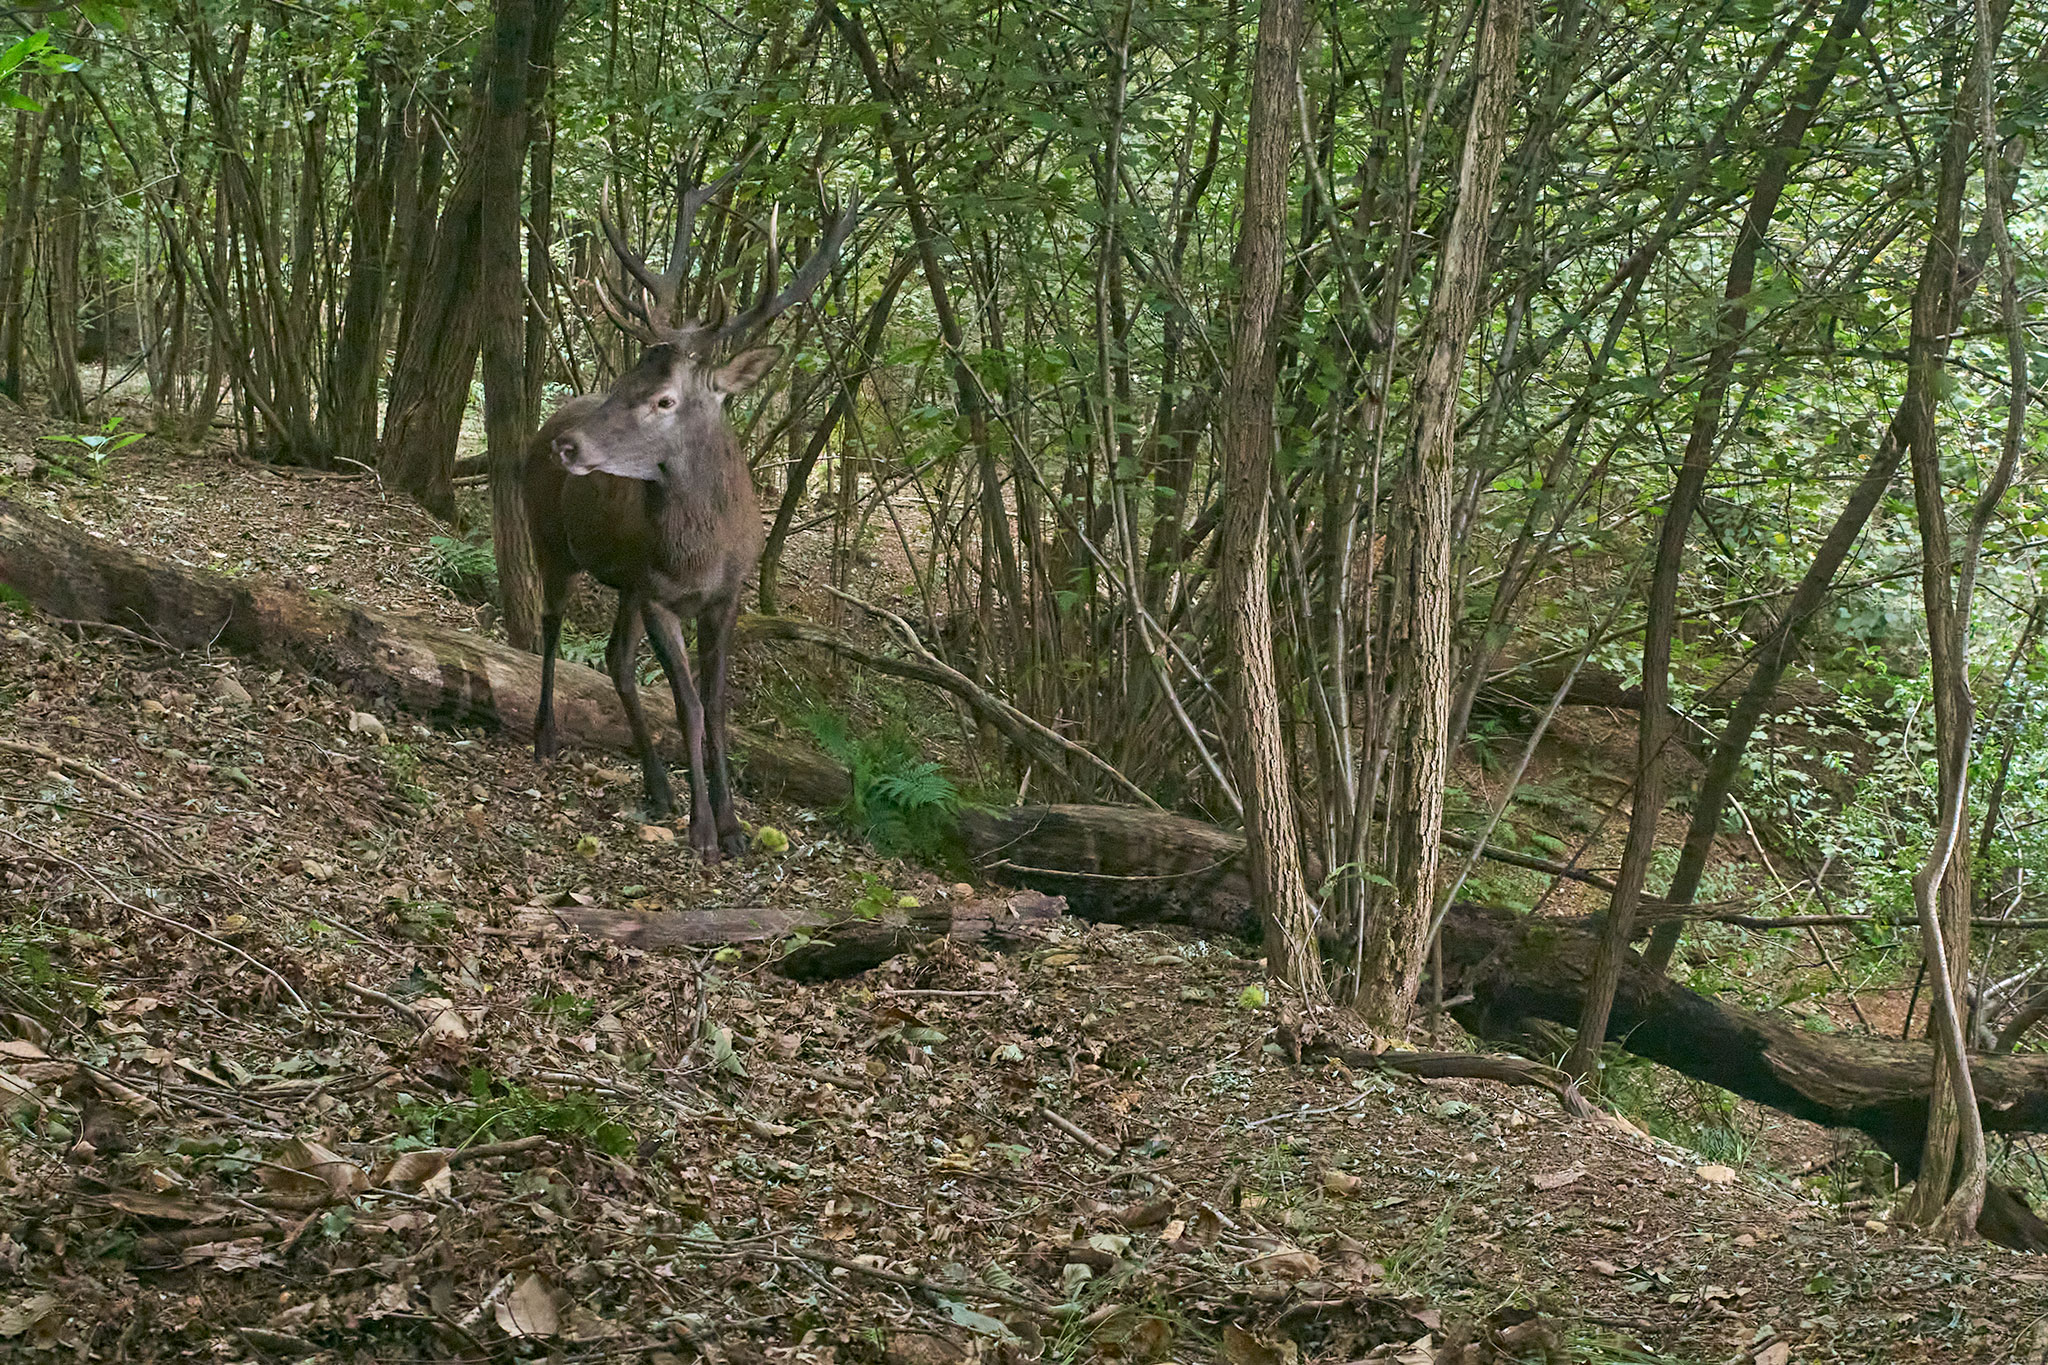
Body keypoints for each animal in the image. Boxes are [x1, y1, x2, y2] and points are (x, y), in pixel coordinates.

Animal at [525, 169, 858, 863]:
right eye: (622, 379)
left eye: (664, 399)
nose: (567, 448)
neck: (700, 553)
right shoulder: (660, 595)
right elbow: (689, 708)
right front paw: (704, 831)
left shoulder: (725, 595)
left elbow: (718, 705)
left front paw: (732, 826)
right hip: (552, 543)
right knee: (550, 628)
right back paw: (546, 738)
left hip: (625, 580)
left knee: (617, 661)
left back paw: (657, 787)